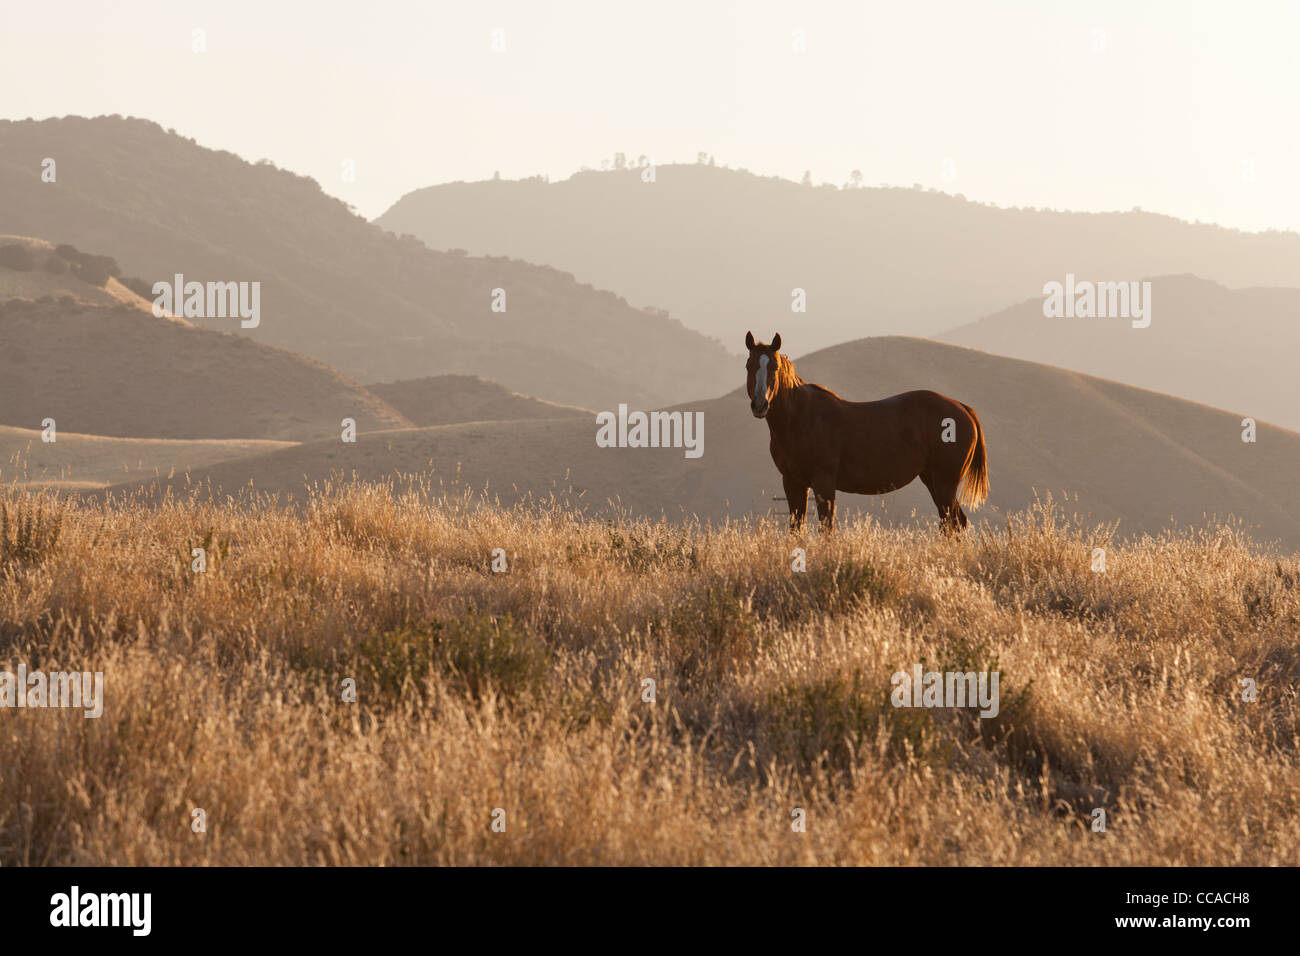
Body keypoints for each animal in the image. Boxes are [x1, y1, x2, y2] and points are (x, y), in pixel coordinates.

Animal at [748, 332, 987, 535]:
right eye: (749, 365)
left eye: (775, 367)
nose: (760, 405)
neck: (802, 418)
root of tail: (962, 407)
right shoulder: (792, 482)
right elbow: (796, 528)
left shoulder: (823, 482)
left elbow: (826, 528)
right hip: (932, 480)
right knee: (953, 522)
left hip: (945, 483)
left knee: (953, 522)